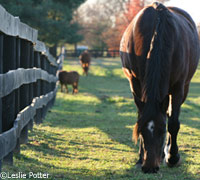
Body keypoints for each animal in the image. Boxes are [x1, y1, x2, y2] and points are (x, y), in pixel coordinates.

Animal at [119, 1, 199, 173]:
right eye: (141, 130)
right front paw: (140, 158)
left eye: (162, 130)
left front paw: (172, 157)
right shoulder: (136, 83)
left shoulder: (178, 87)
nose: (149, 168)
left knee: (171, 114)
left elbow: (173, 123)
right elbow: (140, 115)